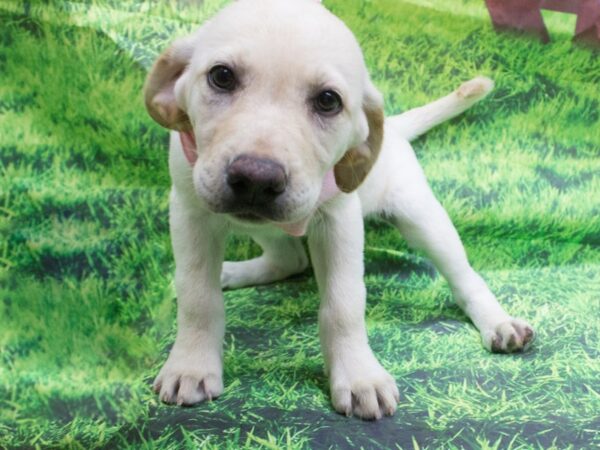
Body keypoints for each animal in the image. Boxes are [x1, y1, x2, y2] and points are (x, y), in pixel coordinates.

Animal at [144, 0, 536, 418]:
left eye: (328, 101)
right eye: (221, 76)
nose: (256, 179)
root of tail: (394, 128)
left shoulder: (338, 222)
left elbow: (344, 303)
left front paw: (359, 375)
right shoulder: (190, 213)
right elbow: (197, 294)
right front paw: (191, 364)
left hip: (423, 219)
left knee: (465, 278)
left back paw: (498, 322)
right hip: (261, 224)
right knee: (289, 259)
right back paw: (231, 272)